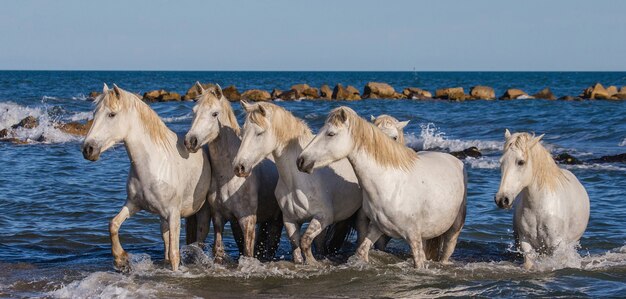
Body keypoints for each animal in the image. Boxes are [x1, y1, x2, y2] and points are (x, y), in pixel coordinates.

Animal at [82, 84, 212, 272]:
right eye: (95, 113)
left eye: (111, 114)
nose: (88, 149)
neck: (154, 166)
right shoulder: (133, 204)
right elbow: (113, 224)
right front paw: (121, 259)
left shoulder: (174, 214)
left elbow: (174, 255)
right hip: (163, 218)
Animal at [183, 84, 280, 262]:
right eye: (194, 111)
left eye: (214, 113)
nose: (190, 141)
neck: (228, 177)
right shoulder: (219, 217)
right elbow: (218, 250)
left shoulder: (247, 220)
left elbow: (248, 254)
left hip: (276, 221)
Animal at [232, 102, 364, 266]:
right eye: (243, 132)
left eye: (260, 133)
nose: (239, 167)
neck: (298, 182)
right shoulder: (290, 221)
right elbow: (296, 246)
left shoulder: (323, 218)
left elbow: (305, 242)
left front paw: (313, 263)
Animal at [296, 106, 464, 268]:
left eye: (331, 134)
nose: (301, 160)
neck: (390, 185)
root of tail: (454, 160)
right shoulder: (377, 227)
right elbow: (362, 251)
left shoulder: (413, 236)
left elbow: (419, 264)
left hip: (452, 232)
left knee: (446, 251)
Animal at [494, 130, 588, 270]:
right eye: (501, 162)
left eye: (521, 162)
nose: (501, 199)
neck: (539, 208)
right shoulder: (526, 242)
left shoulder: (556, 245)